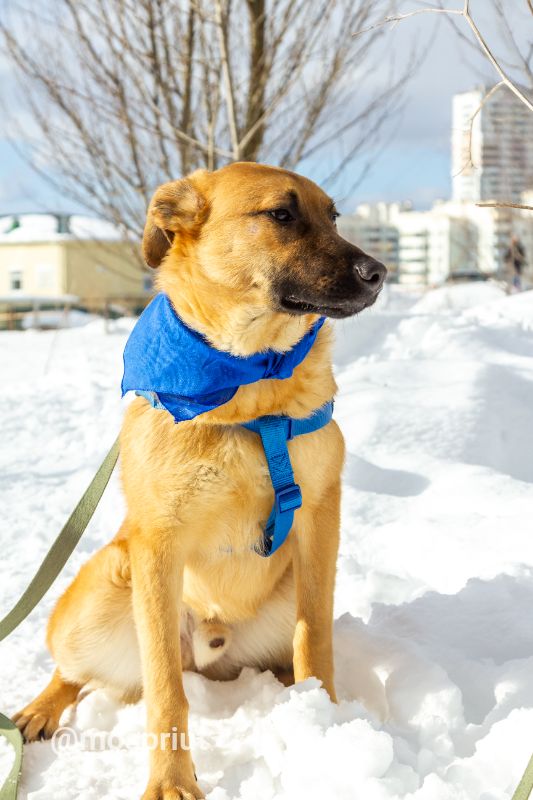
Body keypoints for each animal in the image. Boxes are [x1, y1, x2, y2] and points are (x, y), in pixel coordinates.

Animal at [12, 162, 384, 800]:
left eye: (333, 216)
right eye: (280, 215)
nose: (379, 273)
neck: (247, 383)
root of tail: (208, 649)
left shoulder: (318, 522)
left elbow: (315, 642)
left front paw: (326, 727)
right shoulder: (159, 545)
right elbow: (165, 690)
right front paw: (171, 780)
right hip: (104, 591)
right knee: (76, 673)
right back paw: (39, 709)